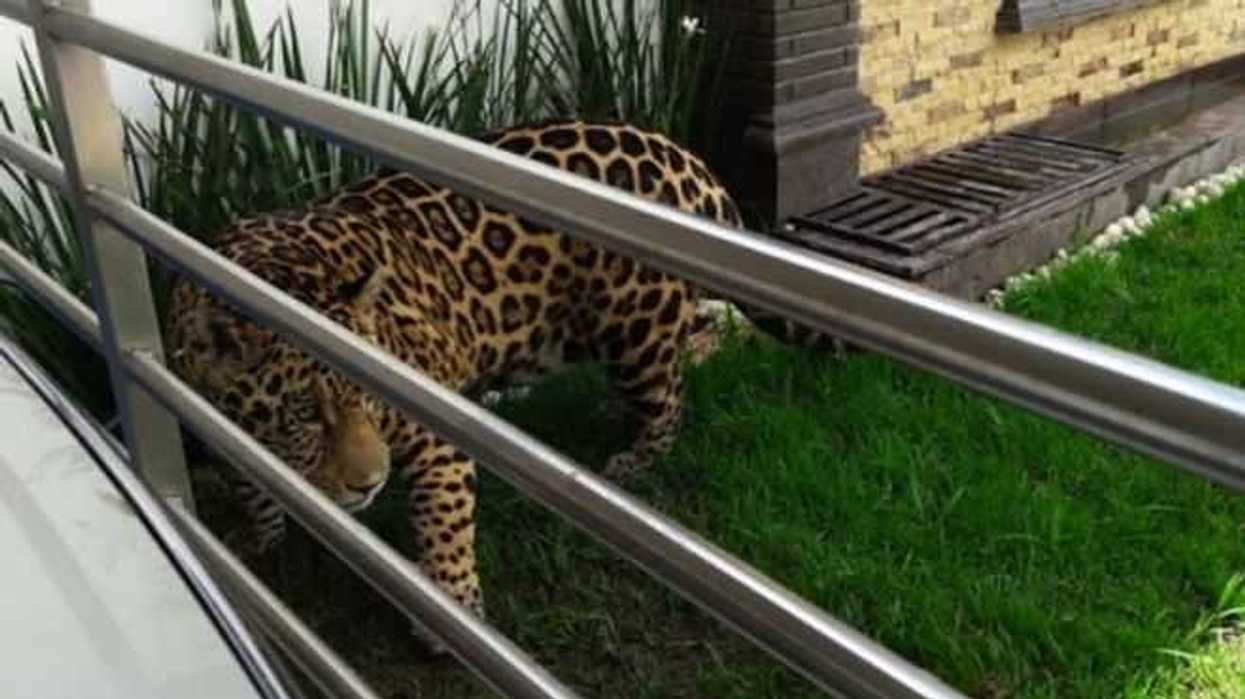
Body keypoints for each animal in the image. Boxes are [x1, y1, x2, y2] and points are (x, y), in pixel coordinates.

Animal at [164, 118, 839, 627]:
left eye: (372, 397)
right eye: (306, 413)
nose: (370, 482)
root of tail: (687, 158)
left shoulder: (431, 430)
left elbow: (445, 525)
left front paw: (453, 607)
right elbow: (251, 483)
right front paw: (261, 541)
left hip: (633, 333)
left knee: (671, 397)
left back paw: (632, 462)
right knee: (705, 337)